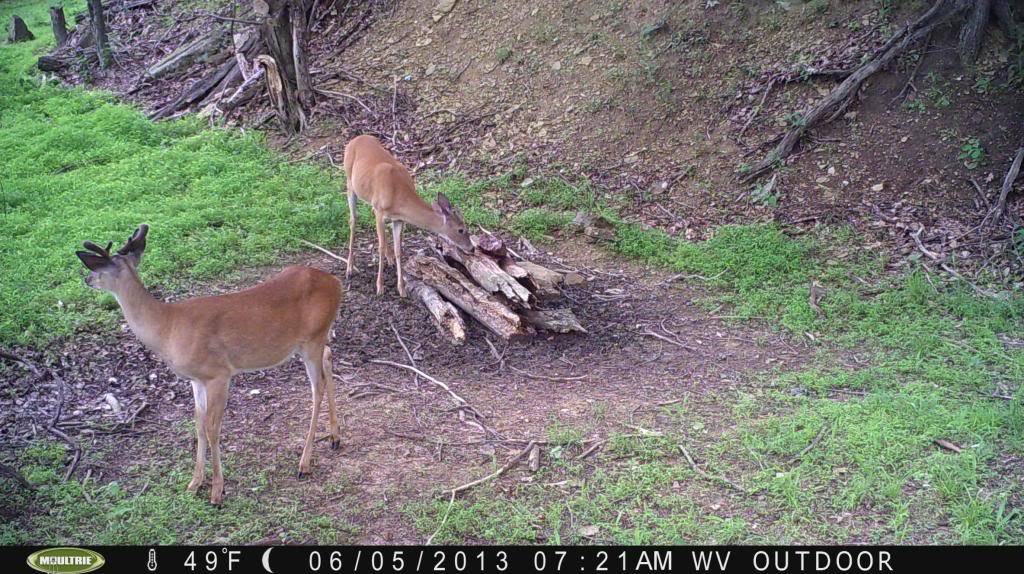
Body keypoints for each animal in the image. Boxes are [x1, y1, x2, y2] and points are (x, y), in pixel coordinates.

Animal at [75, 226, 346, 503]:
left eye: (98, 268)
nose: (86, 280)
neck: (167, 328)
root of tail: (336, 283)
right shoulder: (196, 379)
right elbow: (198, 425)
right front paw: (194, 483)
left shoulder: (218, 373)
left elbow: (212, 427)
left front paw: (217, 490)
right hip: (310, 341)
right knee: (328, 355)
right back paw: (335, 437)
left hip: (312, 337)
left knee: (317, 388)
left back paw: (304, 463)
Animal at [342, 134, 473, 294]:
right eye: (461, 230)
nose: (472, 248)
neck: (397, 194)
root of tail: (356, 138)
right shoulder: (380, 212)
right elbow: (380, 248)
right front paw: (380, 286)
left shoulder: (398, 219)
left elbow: (399, 249)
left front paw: (402, 288)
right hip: (350, 182)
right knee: (353, 220)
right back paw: (349, 269)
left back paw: (389, 259)